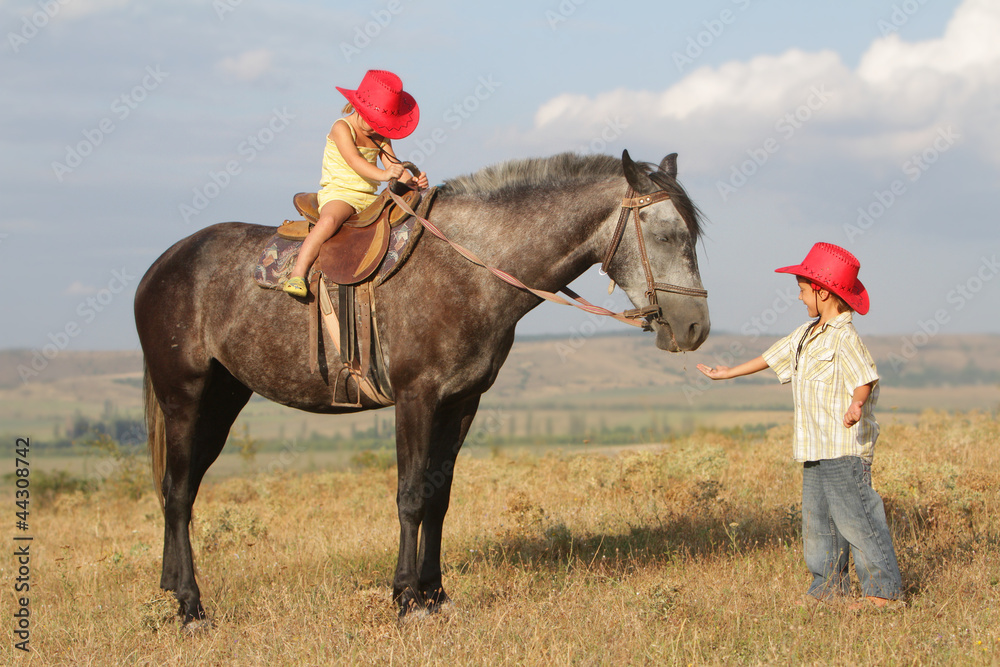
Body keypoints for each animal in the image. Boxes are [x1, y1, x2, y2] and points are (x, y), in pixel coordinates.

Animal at [135, 149, 710, 627]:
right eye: (665, 236)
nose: (695, 329)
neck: (469, 268)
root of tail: (159, 267)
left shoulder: (461, 402)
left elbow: (439, 498)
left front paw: (435, 594)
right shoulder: (416, 398)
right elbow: (410, 496)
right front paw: (407, 599)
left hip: (222, 401)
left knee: (178, 490)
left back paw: (170, 586)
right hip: (184, 397)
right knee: (179, 493)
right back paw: (191, 607)